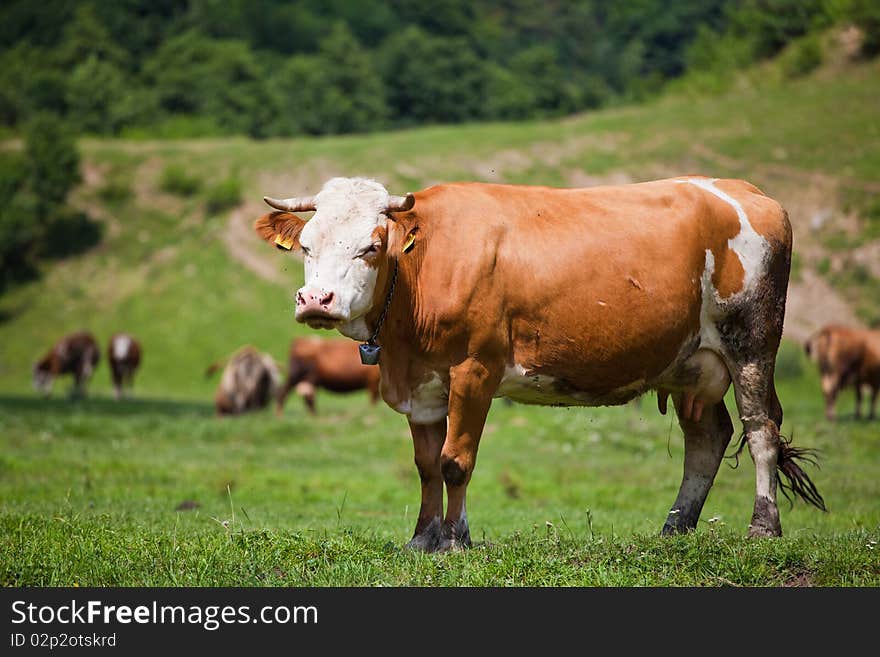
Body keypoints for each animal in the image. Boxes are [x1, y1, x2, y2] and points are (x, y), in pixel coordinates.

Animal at [249, 174, 824, 548]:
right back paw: (674, 528)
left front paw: (455, 541)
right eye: (306, 244)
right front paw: (422, 539)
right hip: (693, 364)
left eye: (371, 246)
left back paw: (762, 528)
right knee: (708, 436)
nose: (316, 301)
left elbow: (455, 461)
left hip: (751, 342)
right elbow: (426, 465)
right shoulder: (423, 384)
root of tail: (748, 192)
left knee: (761, 430)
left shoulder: (475, 369)